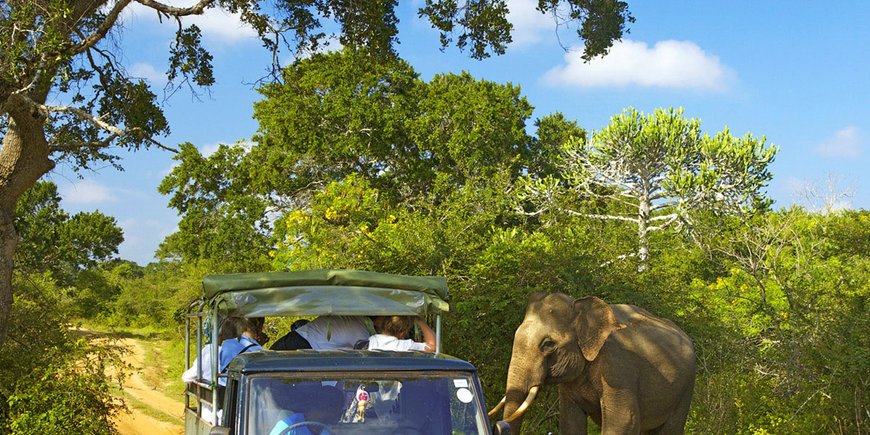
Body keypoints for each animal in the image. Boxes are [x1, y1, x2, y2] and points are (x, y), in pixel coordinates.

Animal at [490, 292, 700, 435]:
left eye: (547, 344)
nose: (499, 426)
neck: (580, 305)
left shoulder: (618, 367)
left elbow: (624, 420)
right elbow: (570, 421)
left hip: (685, 389)